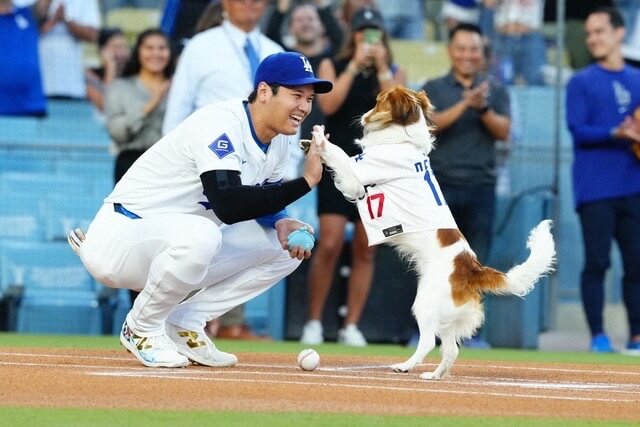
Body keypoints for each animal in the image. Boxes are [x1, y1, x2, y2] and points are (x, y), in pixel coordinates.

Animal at [312, 85, 556, 380]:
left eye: (379, 102)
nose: (363, 116)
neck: (403, 141)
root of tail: (472, 268)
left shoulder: (356, 177)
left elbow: (339, 156)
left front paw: (318, 138)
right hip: (446, 316)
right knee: (451, 350)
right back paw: (435, 375)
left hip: (425, 302)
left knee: (428, 341)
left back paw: (405, 366)